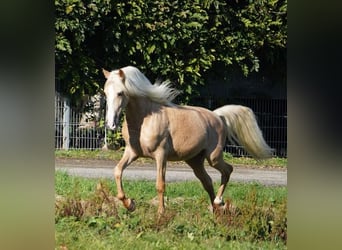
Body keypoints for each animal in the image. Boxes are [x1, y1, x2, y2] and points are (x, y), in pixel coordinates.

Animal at [101, 66, 272, 215]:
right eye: (105, 93)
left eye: (120, 93)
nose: (110, 124)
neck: (146, 119)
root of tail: (218, 116)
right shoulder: (132, 152)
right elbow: (117, 171)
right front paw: (130, 204)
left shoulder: (160, 155)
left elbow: (160, 184)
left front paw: (161, 213)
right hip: (195, 161)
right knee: (207, 181)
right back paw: (215, 209)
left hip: (213, 157)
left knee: (227, 170)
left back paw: (219, 201)